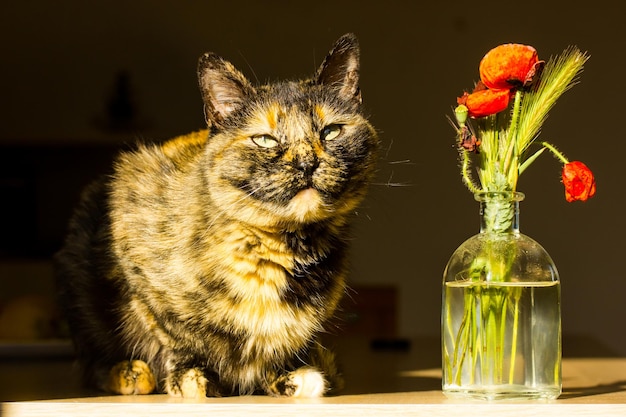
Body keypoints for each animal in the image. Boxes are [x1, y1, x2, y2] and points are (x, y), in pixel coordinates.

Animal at [56, 34, 378, 398]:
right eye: (265, 139)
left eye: (331, 132)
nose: (306, 163)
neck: (279, 250)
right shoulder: (131, 240)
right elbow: (170, 330)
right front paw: (191, 378)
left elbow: (290, 339)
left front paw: (290, 374)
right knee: (92, 362)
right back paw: (129, 373)